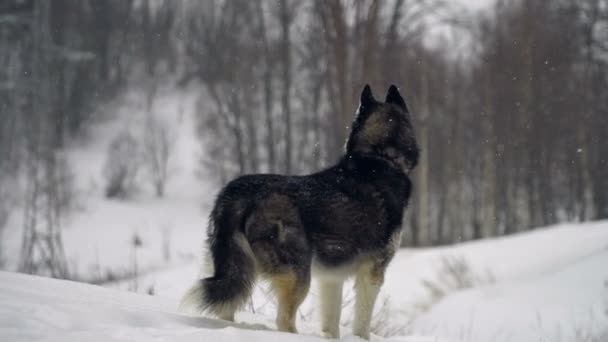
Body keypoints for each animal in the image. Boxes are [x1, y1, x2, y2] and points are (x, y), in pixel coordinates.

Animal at [180, 85, 418, 340]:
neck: (380, 157)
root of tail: (239, 193)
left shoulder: (331, 278)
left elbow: (331, 323)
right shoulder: (372, 273)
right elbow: (362, 323)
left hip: (237, 272)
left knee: (226, 306)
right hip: (298, 276)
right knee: (284, 321)